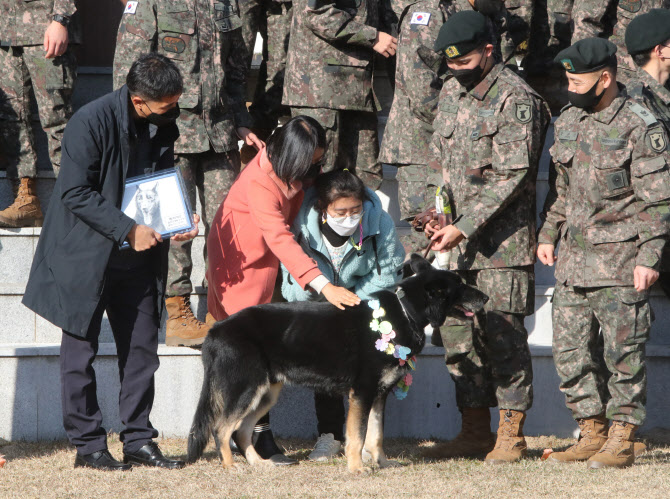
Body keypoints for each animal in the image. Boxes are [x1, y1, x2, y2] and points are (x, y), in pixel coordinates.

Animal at [188, 256, 488, 474]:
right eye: (459, 286)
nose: (485, 298)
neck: (405, 312)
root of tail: (215, 330)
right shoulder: (362, 393)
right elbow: (358, 435)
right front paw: (356, 468)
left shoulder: (379, 395)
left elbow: (376, 435)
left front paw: (381, 463)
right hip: (246, 389)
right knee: (221, 429)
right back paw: (230, 467)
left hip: (264, 394)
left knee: (241, 431)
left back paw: (258, 464)